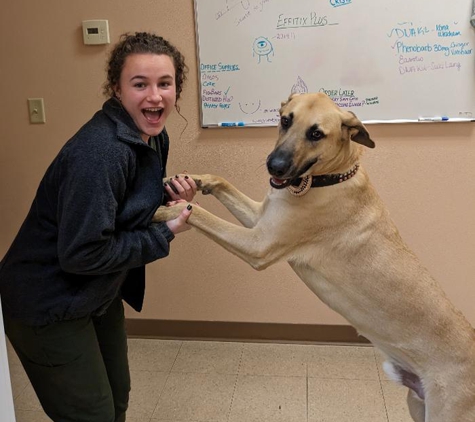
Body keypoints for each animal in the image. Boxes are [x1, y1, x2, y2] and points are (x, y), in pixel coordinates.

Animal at [156, 93, 475, 422]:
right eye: (285, 120)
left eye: (316, 134)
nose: (274, 167)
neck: (330, 177)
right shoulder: (261, 220)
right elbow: (221, 181)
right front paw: (188, 179)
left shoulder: (259, 244)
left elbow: (197, 214)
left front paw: (163, 211)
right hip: (417, 405)